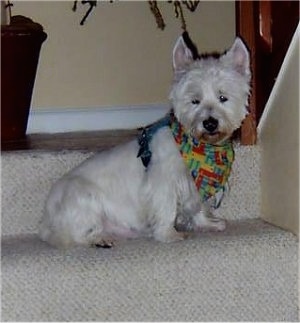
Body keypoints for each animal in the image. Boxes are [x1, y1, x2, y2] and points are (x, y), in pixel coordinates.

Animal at [39, 34, 251, 248]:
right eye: (194, 101)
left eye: (223, 97)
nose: (209, 123)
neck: (199, 149)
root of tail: (46, 219)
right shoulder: (163, 181)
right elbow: (167, 209)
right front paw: (168, 235)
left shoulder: (194, 185)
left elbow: (197, 206)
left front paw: (208, 224)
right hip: (83, 197)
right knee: (73, 235)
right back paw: (99, 239)